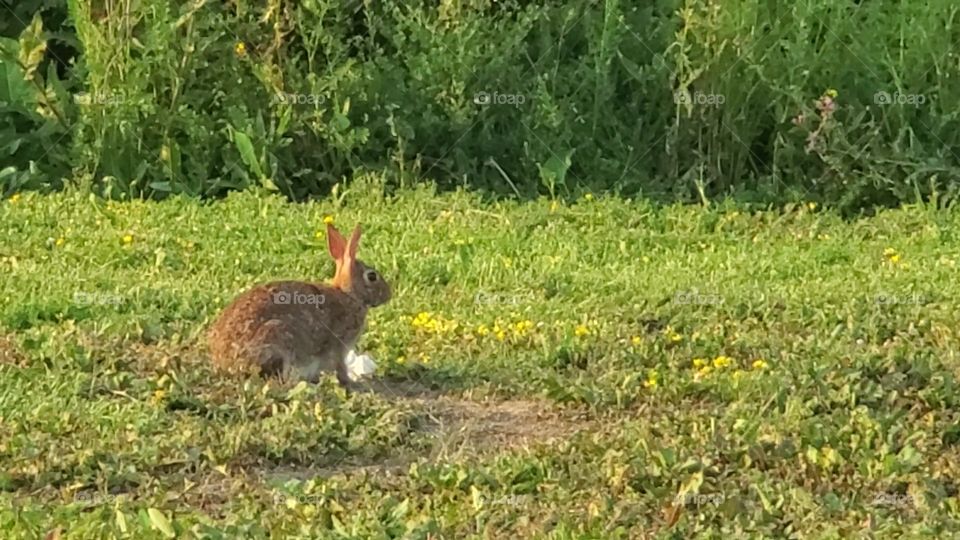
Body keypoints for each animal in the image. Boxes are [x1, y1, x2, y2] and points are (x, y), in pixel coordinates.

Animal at [207, 223, 391, 386]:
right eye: (372, 276)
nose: (389, 294)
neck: (349, 294)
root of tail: (225, 364)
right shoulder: (338, 345)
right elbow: (340, 368)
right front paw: (350, 382)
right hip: (277, 337)